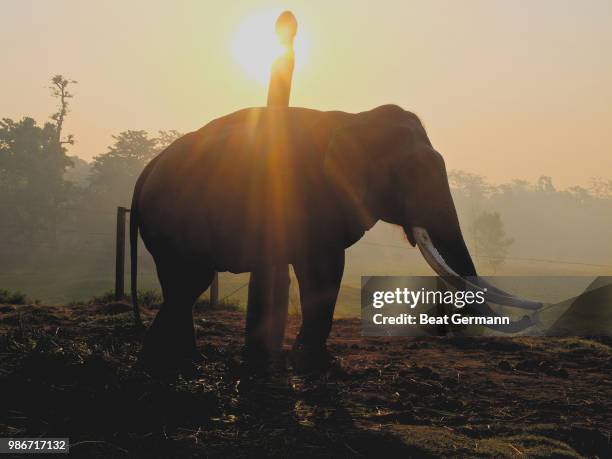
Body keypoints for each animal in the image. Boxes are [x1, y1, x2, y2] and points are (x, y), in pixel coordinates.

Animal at [130, 103, 540, 370]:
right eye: (409, 173)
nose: (530, 314)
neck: (358, 120)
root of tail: (145, 172)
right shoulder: (310, 195)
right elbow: (323, 270)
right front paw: (315, 361)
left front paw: (309, 357)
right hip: (172, 223)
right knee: (188, 283)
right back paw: (170, 360)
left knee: (182, 287)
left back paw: (177, 358)